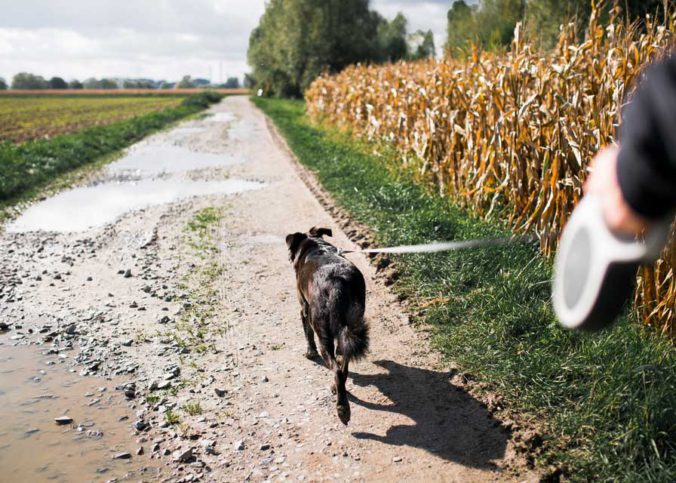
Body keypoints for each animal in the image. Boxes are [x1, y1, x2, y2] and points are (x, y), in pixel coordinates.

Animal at [286, 225, 370, 426]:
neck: (316, 246)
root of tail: (337, 282)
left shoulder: (304, 308)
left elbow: (307, 334)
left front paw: (310, 353)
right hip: (349, 326)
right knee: (342, 364)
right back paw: (337, 390)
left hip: (322, 331)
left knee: (337, 369)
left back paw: (343, 409)